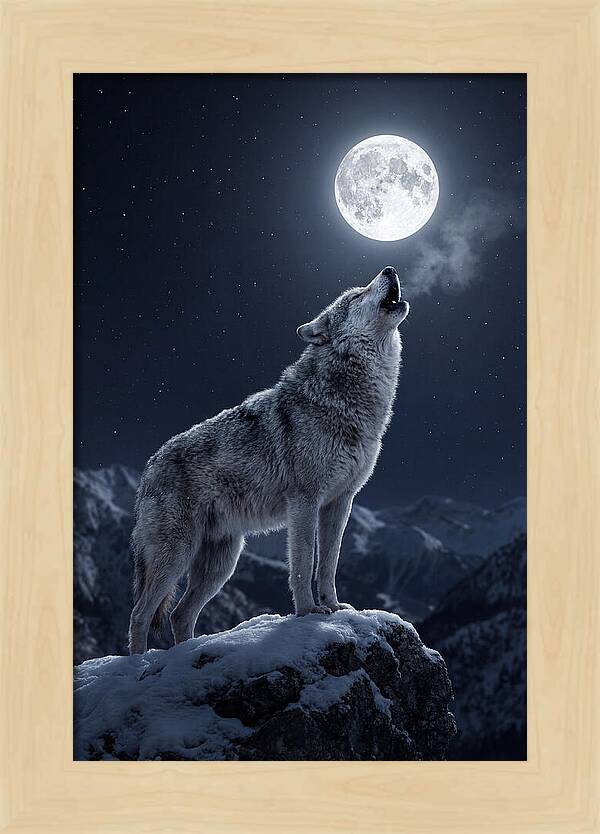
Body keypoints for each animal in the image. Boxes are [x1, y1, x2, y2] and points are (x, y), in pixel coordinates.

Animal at [128, 266, 409, 654]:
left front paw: (334, 606)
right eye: (355, 295)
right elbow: (304, 562)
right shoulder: (304, 501)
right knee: (140, 614)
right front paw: (308, 612)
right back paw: (137, 664)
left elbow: (329, 564)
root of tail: (148, 467)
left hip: (222, 563)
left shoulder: (340, 502)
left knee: (179, 615)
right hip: (175, 557)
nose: (390, 269)